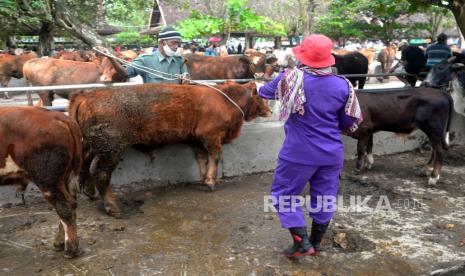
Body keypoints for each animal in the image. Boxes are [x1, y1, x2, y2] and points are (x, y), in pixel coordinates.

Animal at [0, 106, 82, 258]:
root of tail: (60, 117)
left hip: (48, 181)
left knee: (65, 207)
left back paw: (70, 249)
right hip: (68, 177)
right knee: (71, 205)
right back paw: (59, 242)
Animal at [69, 82, 272, 218]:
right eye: (260, 96)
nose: (270, 111)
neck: (223, 99)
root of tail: (85, 96)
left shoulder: (195, 139)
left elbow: (202, 158)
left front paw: (203, 178)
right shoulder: (211, 137)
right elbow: (215, 156)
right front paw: (211, 181)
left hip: (92, 146)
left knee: (85, 166)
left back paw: (90, 192)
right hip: (111, 150)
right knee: (101, 174)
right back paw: (113, 208)